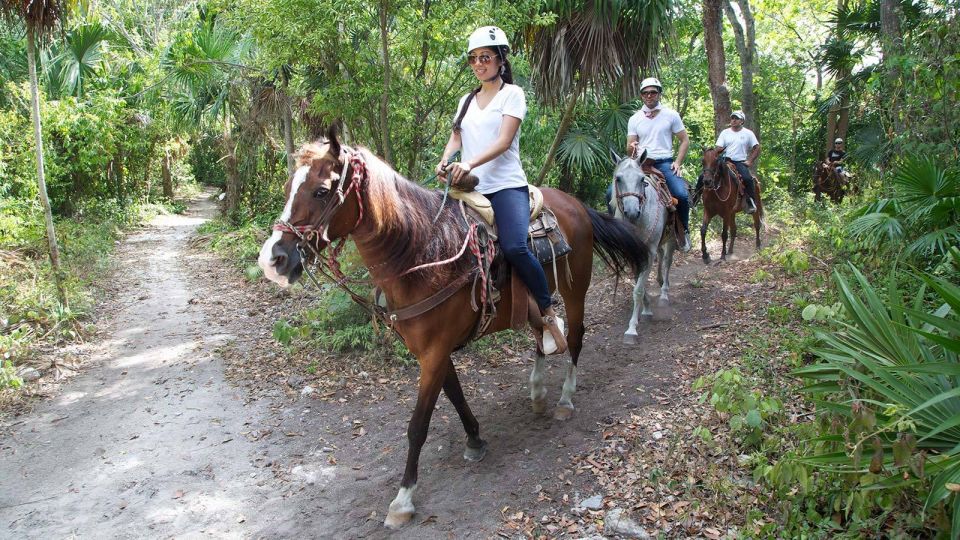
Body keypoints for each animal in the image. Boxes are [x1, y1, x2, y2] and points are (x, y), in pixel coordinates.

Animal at [255, 126, 648, 528]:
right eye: (288, 187)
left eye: (321, 191)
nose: (274, 260)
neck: (422, 254)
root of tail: (575, 204)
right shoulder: (431, 352)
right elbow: (456, 395)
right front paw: (474, 440)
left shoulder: (434, 352)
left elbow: (417, 425)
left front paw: (403, 498)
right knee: (542, 333)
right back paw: (537, 391)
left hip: (575, 287)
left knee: (576, 338)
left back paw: (565, 399)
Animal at [612, 151, 680, 346]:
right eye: (618, 178)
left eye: (642, 179)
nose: (632, 212)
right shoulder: (632, 253)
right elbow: (638, 284)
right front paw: (647, 308)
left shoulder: (648, 252)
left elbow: (638, 289)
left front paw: (631, 329)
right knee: (661, 257)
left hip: (671, 239)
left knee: (667, 261)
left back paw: (664, 293)